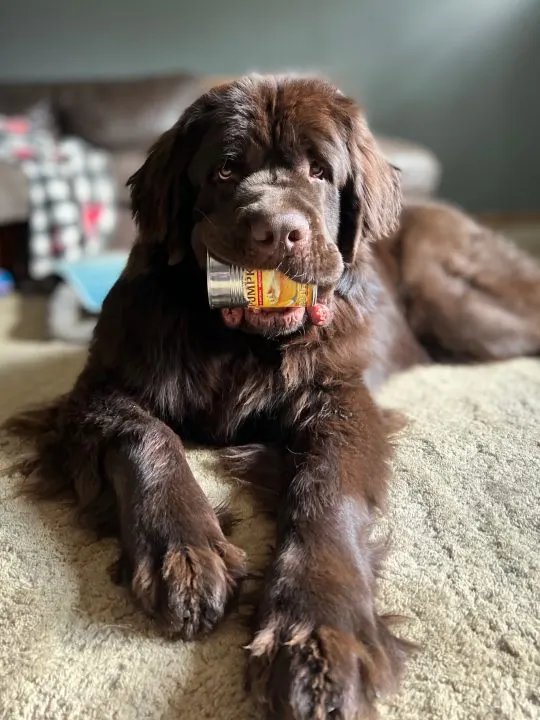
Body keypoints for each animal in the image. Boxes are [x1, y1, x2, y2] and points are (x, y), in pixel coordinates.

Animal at [7, 76, 540, 716]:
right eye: (225, 170)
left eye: (319, 172)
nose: (279, 230)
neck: (238, 344)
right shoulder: (99, 389)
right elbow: (145, 435)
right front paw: (184, 552)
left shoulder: (339, 397)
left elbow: (326, 486)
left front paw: (318, 631)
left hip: (459, 311)